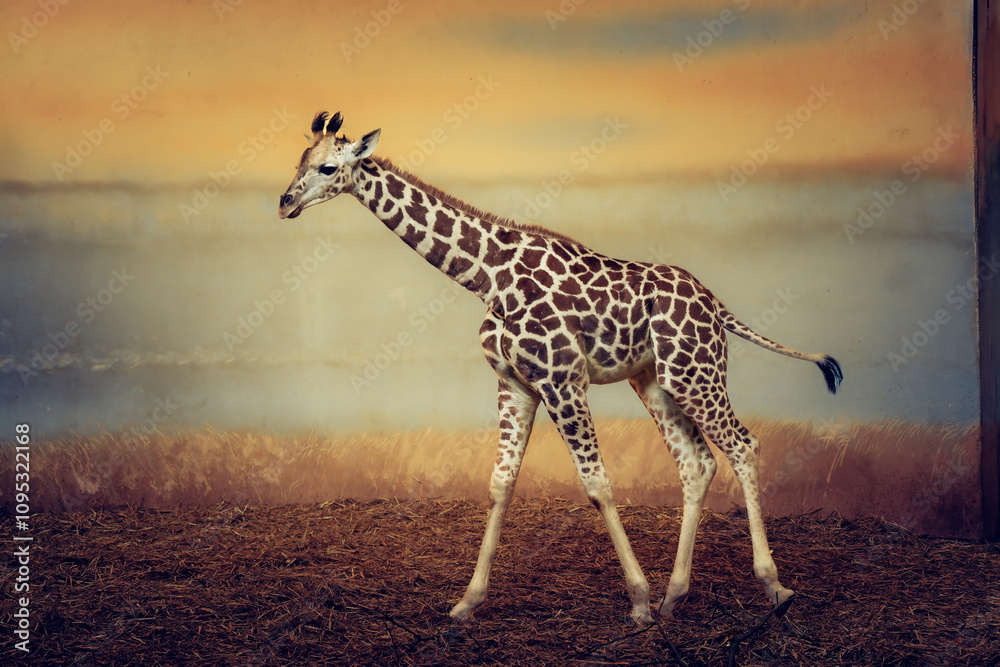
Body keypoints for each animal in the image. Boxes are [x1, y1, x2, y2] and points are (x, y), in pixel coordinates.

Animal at [278, 112, 843, 624]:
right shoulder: (514, 384)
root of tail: (715, 304)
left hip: (696, 370)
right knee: (697, 463)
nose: (285, 202)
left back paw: (772, 588)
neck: (489, 278)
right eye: (299, 159)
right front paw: (467, 603)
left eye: (328, 167)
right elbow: (500, 483)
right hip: (657, 381)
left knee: (743, 446)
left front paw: (638, 602)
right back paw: (675, 595)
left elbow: (597, 484)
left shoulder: (561, 379)